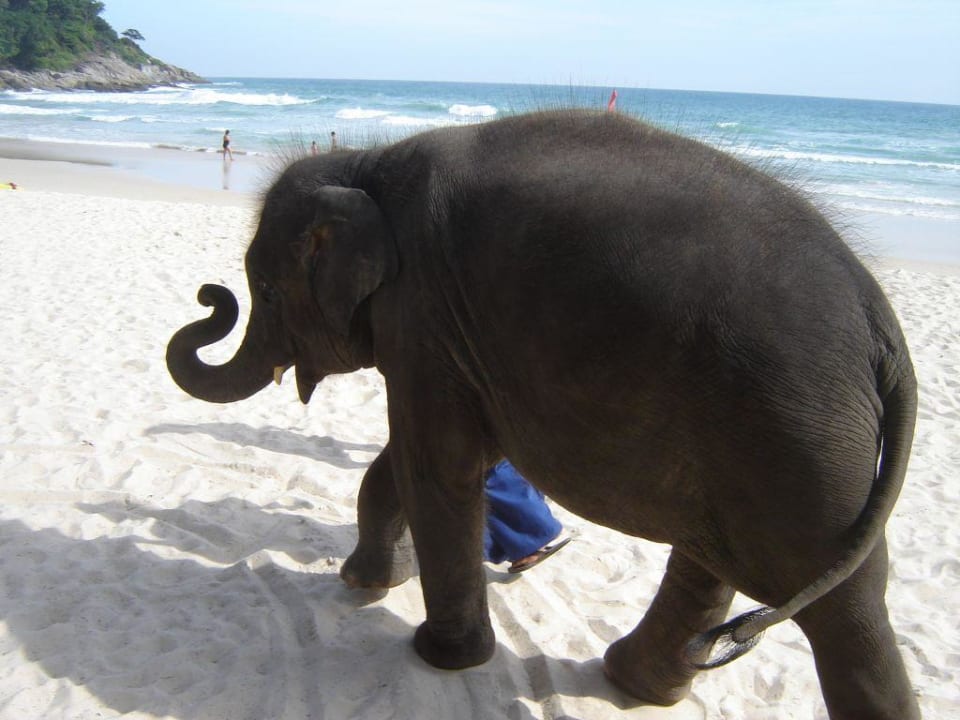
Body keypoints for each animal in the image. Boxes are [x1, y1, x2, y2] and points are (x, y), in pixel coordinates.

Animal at [166, 110, 919, 719]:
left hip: (798, 435)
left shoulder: (422, 313)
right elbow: (444, 457)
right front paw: (367, 584)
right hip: (771, 432)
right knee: (724, 560)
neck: (366, 163)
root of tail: (878, 320)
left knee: (845, 615)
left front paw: (439, 653)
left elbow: (435, 462)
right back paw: (633, 683)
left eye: (265, 287)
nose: (210, 296)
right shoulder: (469, 337)